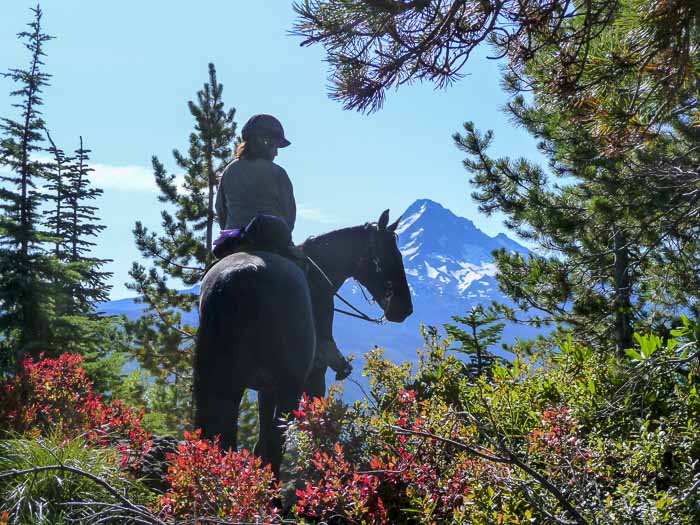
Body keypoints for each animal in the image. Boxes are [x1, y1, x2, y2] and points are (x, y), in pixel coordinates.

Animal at [194, 210, 412, 474]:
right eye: (390, 255)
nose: (405, 308)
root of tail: (241, 278)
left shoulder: (266, 389)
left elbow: (259, 443)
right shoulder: (313, 380)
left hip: (219, 382)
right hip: (289, 383)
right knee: (275, 442)